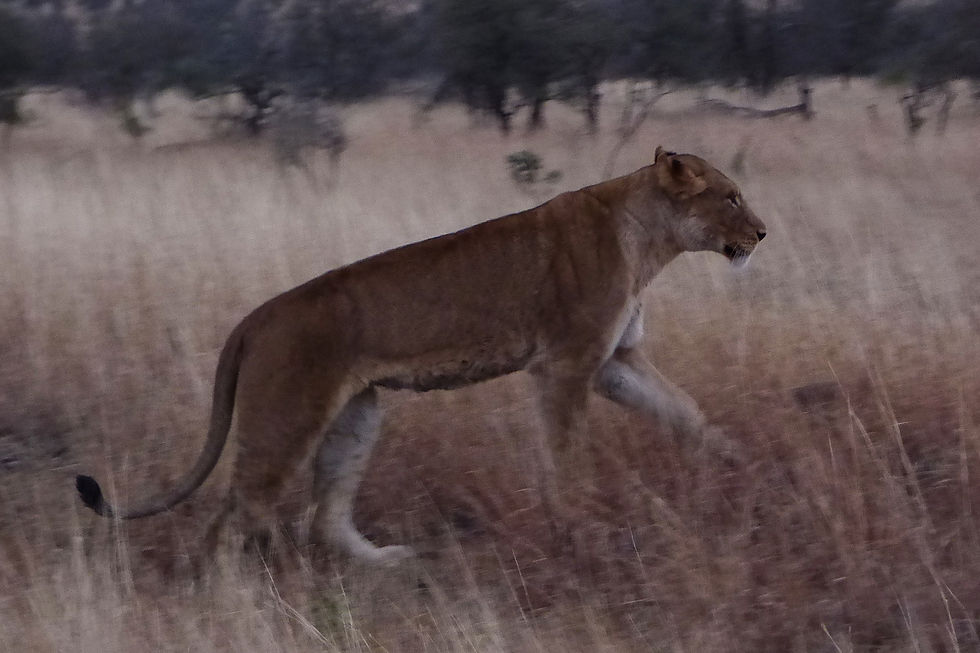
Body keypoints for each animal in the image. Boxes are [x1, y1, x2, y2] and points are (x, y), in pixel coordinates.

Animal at [76, 146, 767, 565]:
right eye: (730, 197)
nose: (762, 234)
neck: (650, 241)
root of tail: (255, 317)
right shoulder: (566, 364)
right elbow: (566, 453)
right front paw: (579, 522)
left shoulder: (616, 363)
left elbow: (686, 412)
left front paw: (736, 465)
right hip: (286, 417)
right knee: (234, 517)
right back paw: (228, 600)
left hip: (357, 411)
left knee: (322, 519)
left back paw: (392, 562)